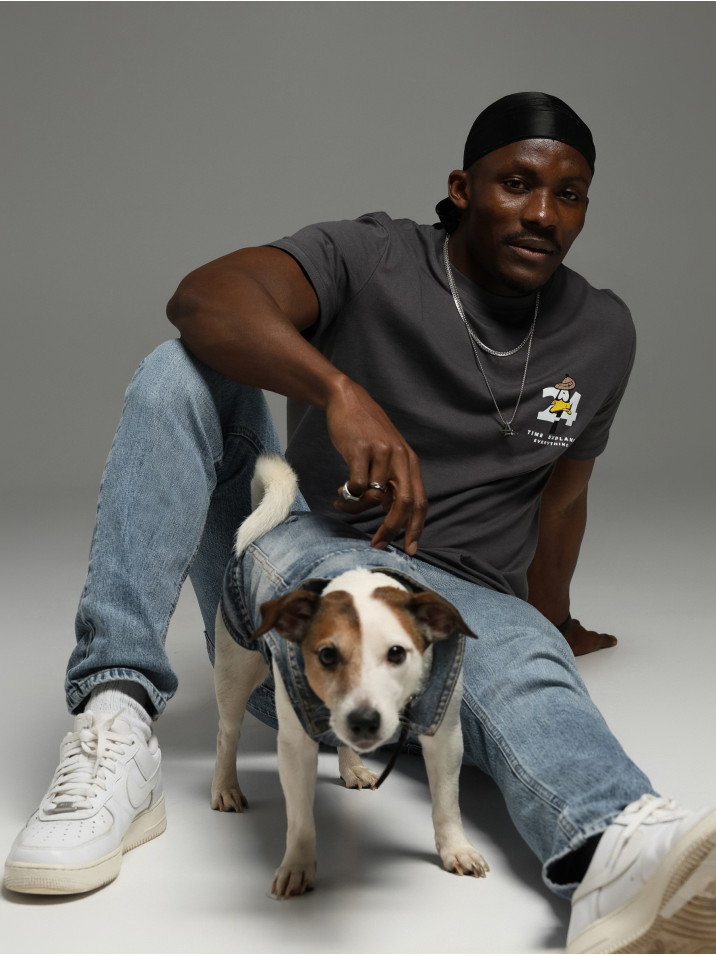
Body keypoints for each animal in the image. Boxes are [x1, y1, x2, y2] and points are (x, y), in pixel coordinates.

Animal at [211, 454, 488, 898]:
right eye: (326, 655)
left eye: (397, 653)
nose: (364, 720)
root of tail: (275, 523)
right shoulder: (294, 742)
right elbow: (300, 819)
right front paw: (298, 865)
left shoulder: (445, 733)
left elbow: (447, 803)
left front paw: (456, 848)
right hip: (235, 670)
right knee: (227, 733)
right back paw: (225, 786)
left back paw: (351, 765)